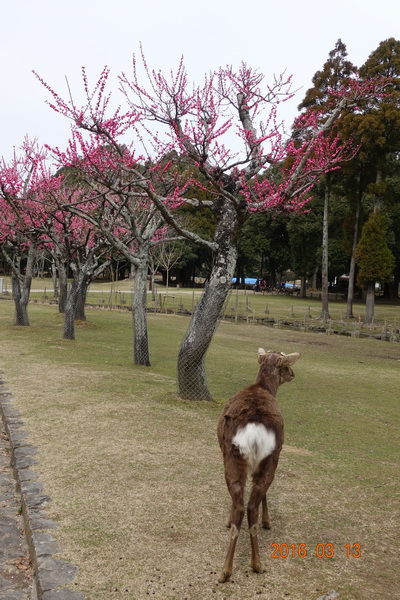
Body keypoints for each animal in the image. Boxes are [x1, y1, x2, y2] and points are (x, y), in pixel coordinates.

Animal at [216, 346, 300, 580]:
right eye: (285, 365)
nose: (293, 374)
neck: (264, 388)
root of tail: (254, 430)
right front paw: (267, 521)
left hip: (233, 459)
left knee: (241, 507)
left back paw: (227, 570)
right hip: (270, 458)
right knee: (250, 505)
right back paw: (256, 564)